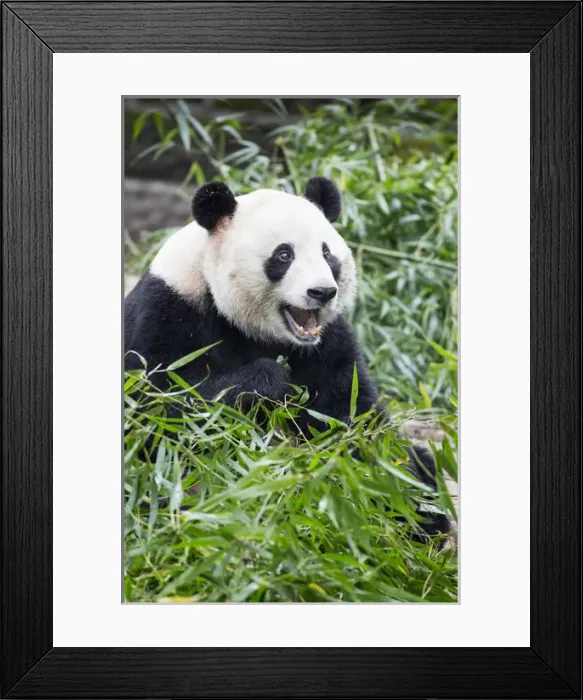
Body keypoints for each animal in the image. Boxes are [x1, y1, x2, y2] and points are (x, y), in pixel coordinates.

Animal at [125, 177, 450, 538]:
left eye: (327, 253)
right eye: (284, 254)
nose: (322, 292)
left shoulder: (326, 340)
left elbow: (352, 413)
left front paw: (403, 501)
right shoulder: (170, 311)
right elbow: (162, 410)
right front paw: (272, 382)